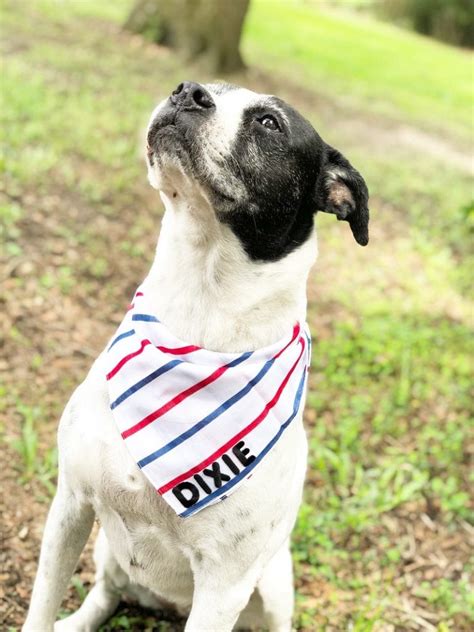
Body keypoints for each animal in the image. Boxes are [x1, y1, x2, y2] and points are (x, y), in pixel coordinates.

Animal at [22, 81, 368, 628]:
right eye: (206, 87)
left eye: (269, 122)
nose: (188, 92)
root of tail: (167, 604)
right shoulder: (70, 504)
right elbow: (41, 601)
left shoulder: (223, 585)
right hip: (105, 550)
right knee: (105, 592)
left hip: (273, 585)